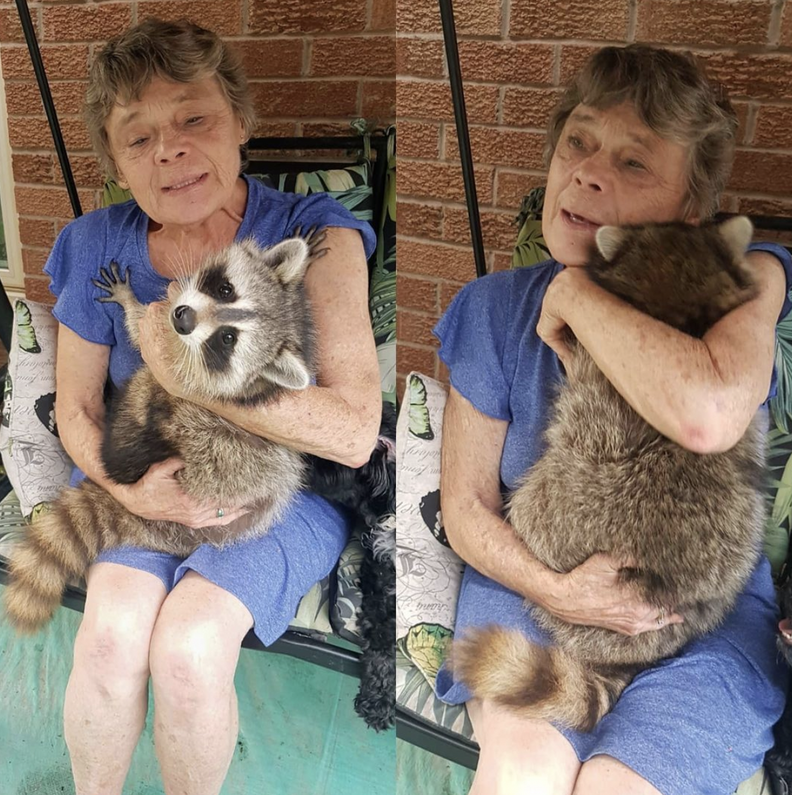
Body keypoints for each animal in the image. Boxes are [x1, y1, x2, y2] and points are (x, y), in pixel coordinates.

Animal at [4, 231, 325, 634]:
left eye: (227, 339)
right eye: (225, 289)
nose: (183, 318)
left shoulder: (177, 363)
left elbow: (143, 331)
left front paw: (130, 304)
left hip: (189, 448)